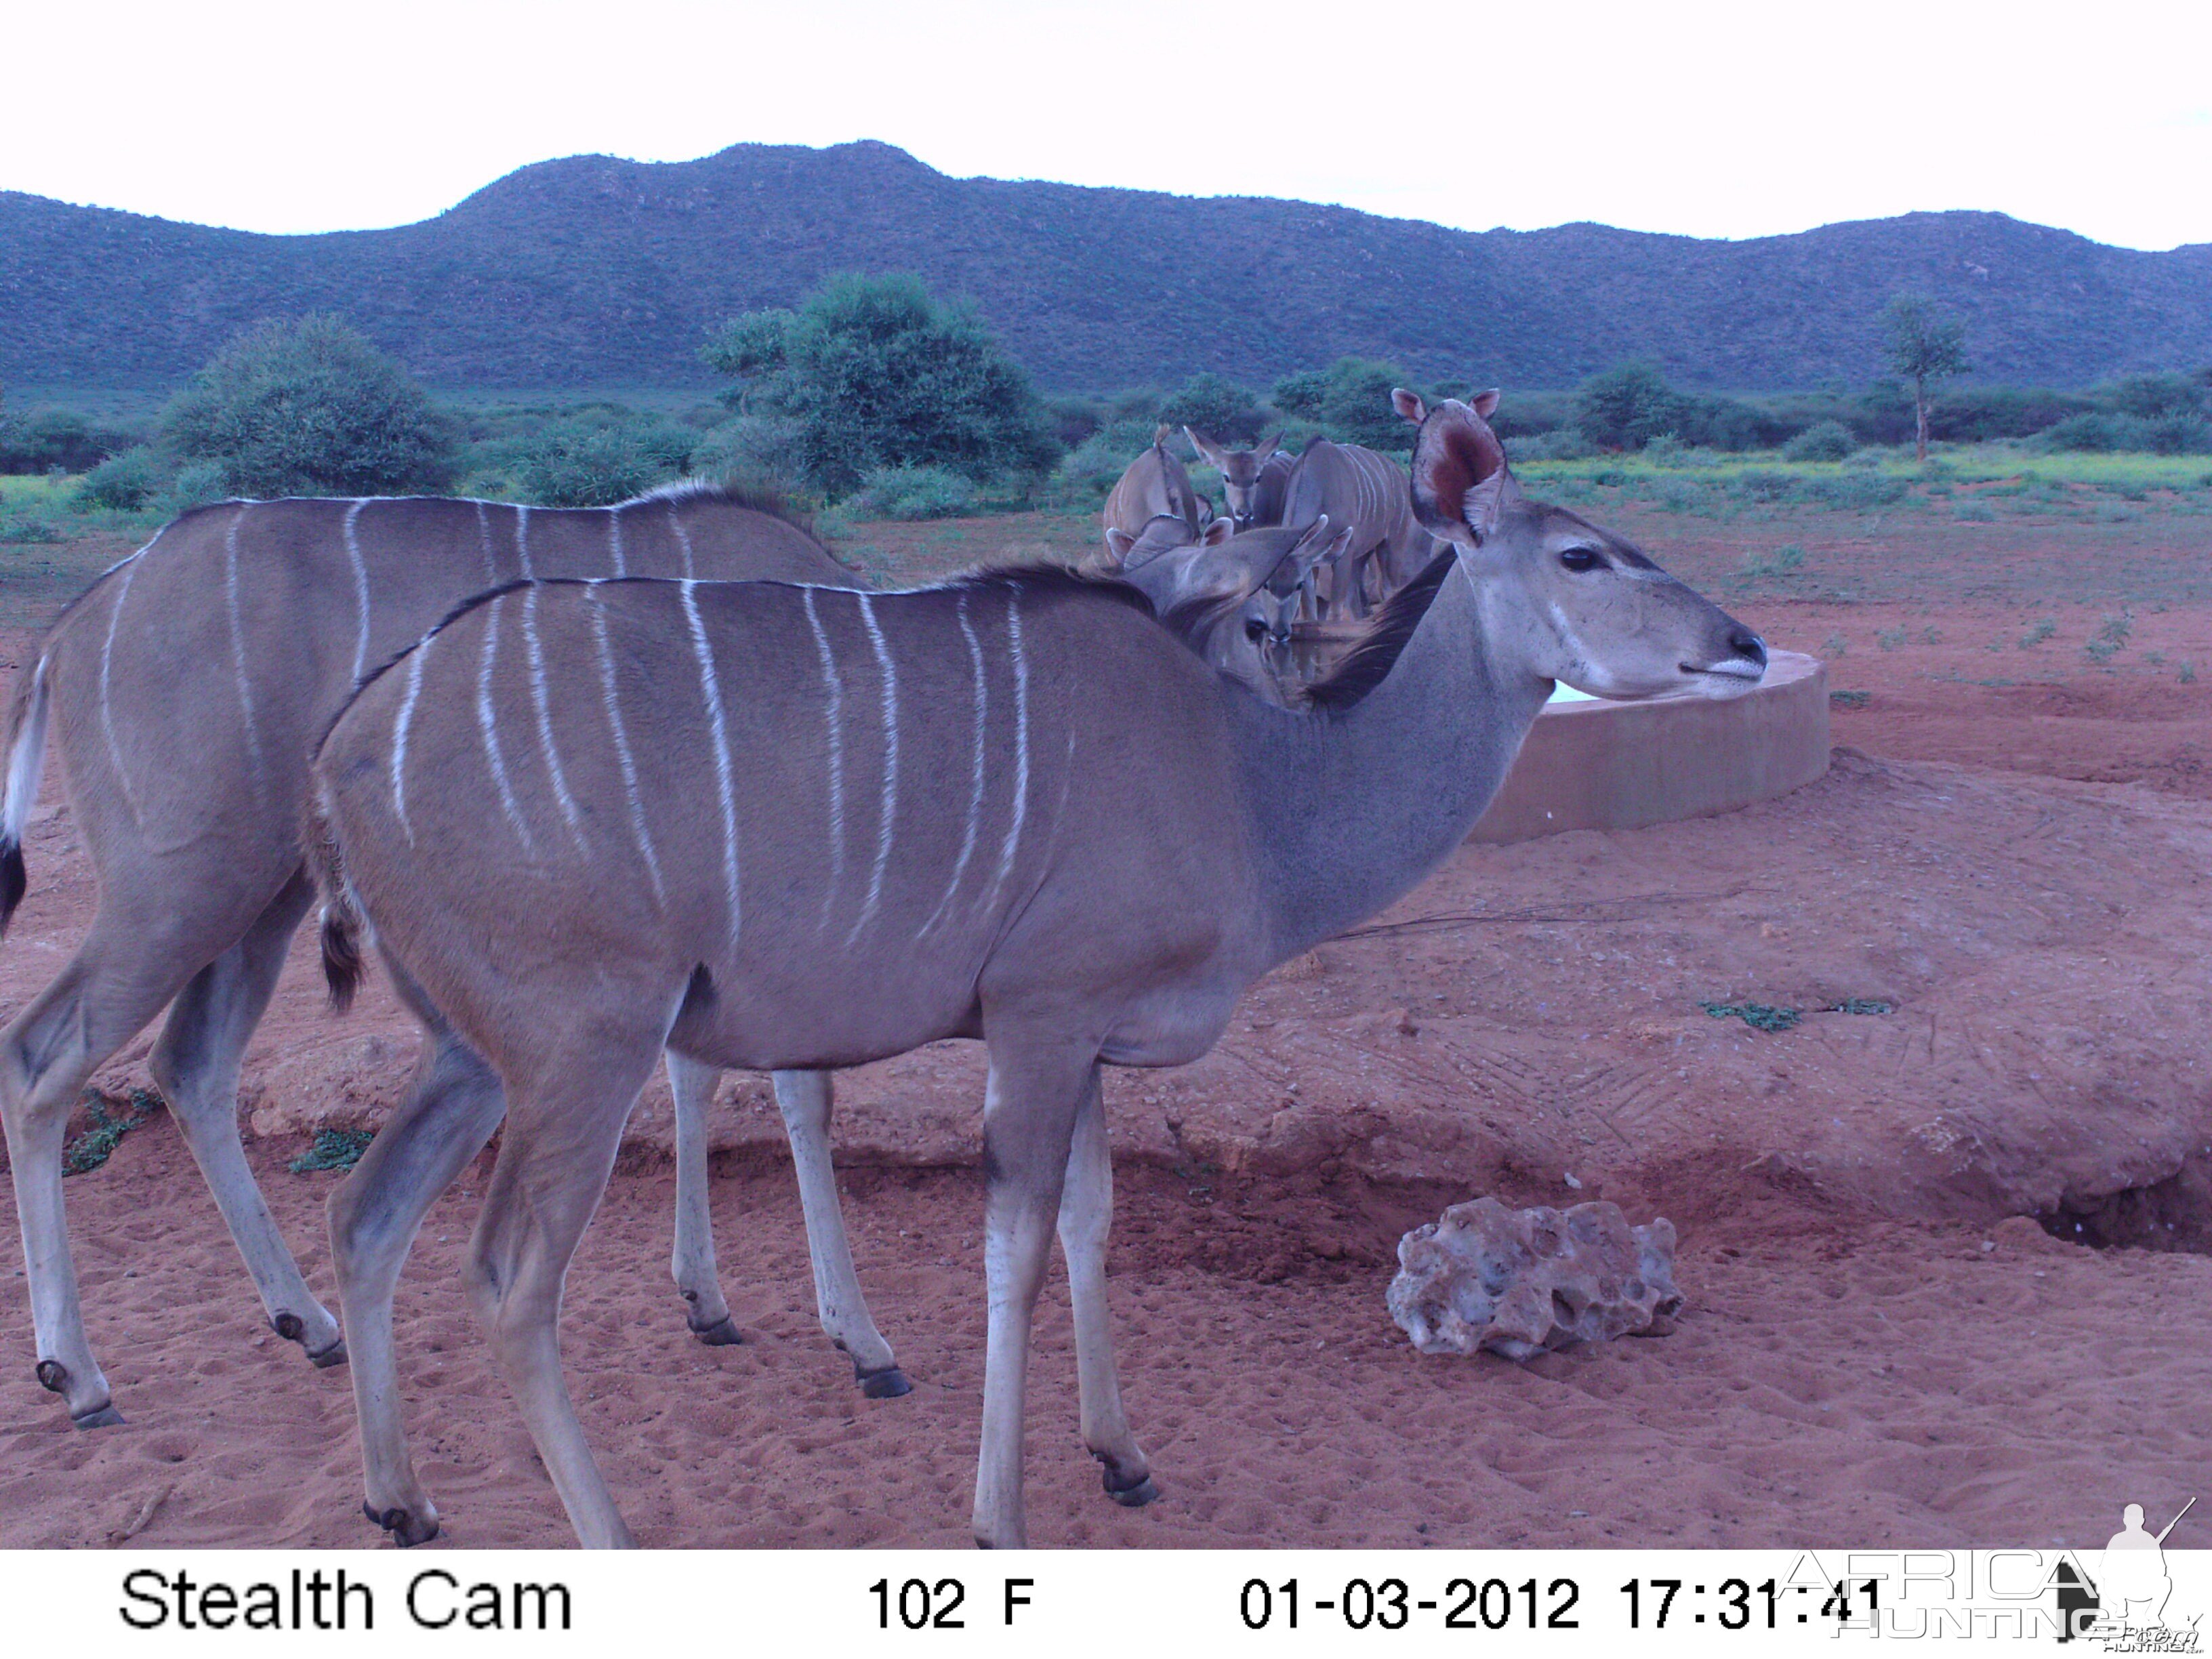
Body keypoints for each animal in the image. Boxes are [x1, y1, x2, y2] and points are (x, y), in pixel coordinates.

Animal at [0, 487, 907, 1433]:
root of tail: (80, 619)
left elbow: (698, 1077)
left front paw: (706, 1301)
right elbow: (801, 1097)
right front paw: (862, 1341)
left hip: (264, 892)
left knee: (191, 1062)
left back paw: (307, 1322)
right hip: (184, 882)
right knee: (38, 1057)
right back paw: (78, 1376)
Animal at [307, 393, 1761, 1557]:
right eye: (1581, 554)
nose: (1742, 645)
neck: (1247, 783)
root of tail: (349, 737)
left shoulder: (1089, 1037)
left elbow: (1087, 1221)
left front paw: (1120, 1454)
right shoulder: (1038, 1021)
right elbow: (1010, 1245)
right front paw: (997, 1514)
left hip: (471, 1048)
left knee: (368, 1212)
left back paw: (401, 1500)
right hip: (582, 1044)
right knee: (508, 1283)